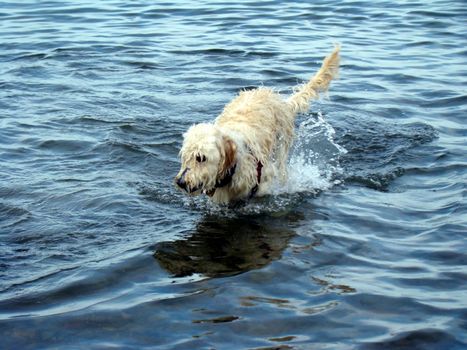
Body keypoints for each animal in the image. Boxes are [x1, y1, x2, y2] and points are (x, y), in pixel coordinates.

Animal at [176, 46, 340, 205]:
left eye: (200, 158)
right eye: (185, 156)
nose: (180, 182)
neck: (234, 166)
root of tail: (281, 101)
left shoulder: (264, 179)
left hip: (281, 149)